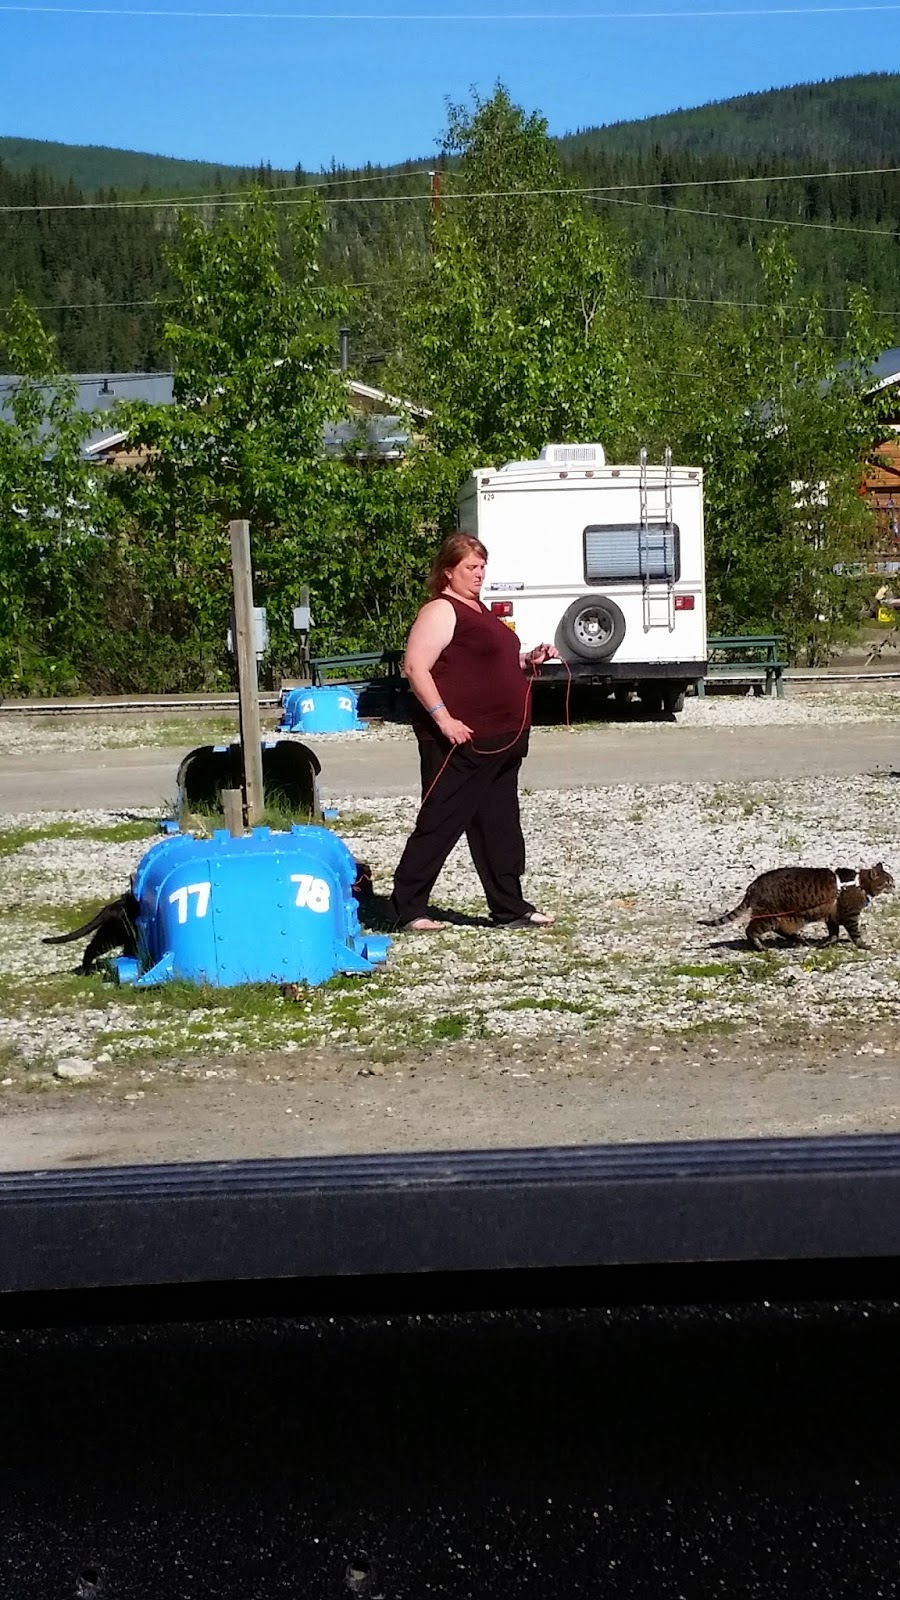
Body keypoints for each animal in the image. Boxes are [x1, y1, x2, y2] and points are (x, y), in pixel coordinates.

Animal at [699, 862, 894, 951]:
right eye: (888, 881)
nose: (894, 886)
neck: (859, 884)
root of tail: (753, 885)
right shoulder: (849, 914)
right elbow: (855, 933)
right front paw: (862, 944)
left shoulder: (832, 914)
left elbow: (833, 933)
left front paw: (827, 942)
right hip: (770, 914)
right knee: (751, 929)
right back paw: (760, 946)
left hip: (783, 916)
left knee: (779, 929)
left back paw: (796, 939)